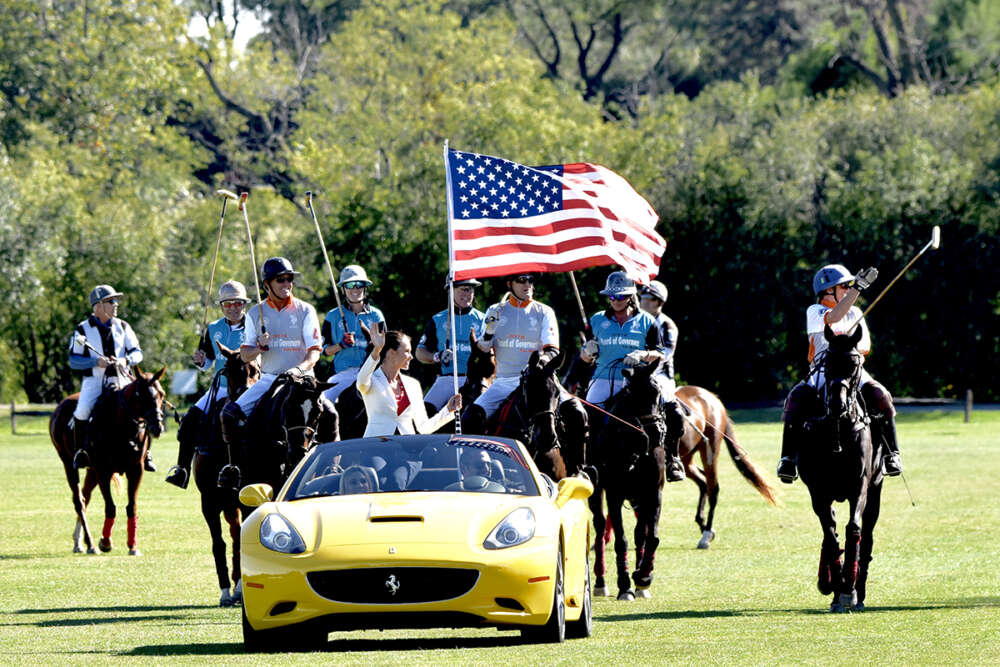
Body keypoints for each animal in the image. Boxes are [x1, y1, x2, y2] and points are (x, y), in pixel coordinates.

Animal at [50, 368, 166, 556]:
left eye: (162, 394)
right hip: (68, 463)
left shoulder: (136, 470)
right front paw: (105, 542)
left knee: (85, 497)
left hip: (91, 470)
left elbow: (132, 506)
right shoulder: (103, 470)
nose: (157, 427)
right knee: (79, 501)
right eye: (141, 395)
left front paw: (133, 546)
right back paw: (90, 544)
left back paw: (79, 542)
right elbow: (110, 506)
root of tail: (60, 406)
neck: (122, 427)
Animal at [588, 358, 668, 604]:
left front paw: (643, 577)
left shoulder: (653, 492)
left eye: (658, 393)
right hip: (596, 490)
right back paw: (601, 582)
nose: (655, 433)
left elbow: (651, 536)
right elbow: (620, 539)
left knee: (639, 533)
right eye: (634, 395)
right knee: (599, 526)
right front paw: (625, 586)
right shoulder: (615, 494)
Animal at [676, 384, 776, 552]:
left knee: (712, 488)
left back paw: (706, 535)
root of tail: (713, 397)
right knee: (703, 481)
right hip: (686, 458)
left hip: (710, 447)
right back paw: (705, 527)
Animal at [796, 326, 884, 612]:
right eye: (827, 364)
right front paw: (836, 586)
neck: (838, 428)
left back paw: (859, 591)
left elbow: (853, 529)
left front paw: (849, 588)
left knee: (867, 536)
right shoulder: (817, 491)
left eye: (854, 365)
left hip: (876, 489)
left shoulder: (860, 486)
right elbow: (831, 535)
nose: (837, 405)